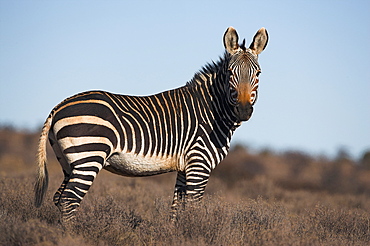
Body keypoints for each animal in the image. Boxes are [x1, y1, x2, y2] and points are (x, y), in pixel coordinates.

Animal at [34, 26, 268, 221]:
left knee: (59, 198)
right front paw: (196, 232)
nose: (243, 110)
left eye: (258, 74)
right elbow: (193, 208)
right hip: (89, 156)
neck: (212, 110)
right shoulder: (199, 163)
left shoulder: (184, 167)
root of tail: (59, 106)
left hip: (69, 162)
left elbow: (177, 209)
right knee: (69, 200)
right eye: (230, 73)